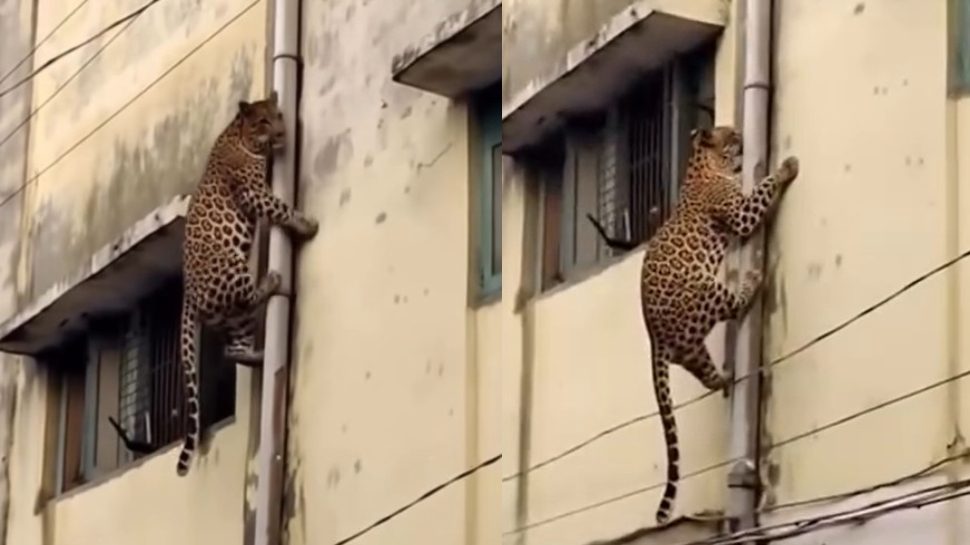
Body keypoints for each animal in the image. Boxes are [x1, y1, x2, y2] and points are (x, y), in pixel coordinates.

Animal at [175, 92, 319, 477]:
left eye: (279, 115)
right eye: (263, 121)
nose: (282, 132)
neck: (237, 133)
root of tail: (188, 297)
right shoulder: (254, 192)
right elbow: (281, 209)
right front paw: (306, 223)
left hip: (232, 317)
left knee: (232, 349)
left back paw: (260, 356)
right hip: (232, 267)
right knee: (250, 296)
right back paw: (272, 280)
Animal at [588, 125, 799, 525]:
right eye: (731, 136)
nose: (742, 139)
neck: (703, 164)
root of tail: (654, 338)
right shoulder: (740, 213)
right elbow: (763, 189)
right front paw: (786, 167)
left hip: (692, 348)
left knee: (706, 375)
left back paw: (726, 378)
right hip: (705, 289)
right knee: (732, 305)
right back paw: (751, 279)